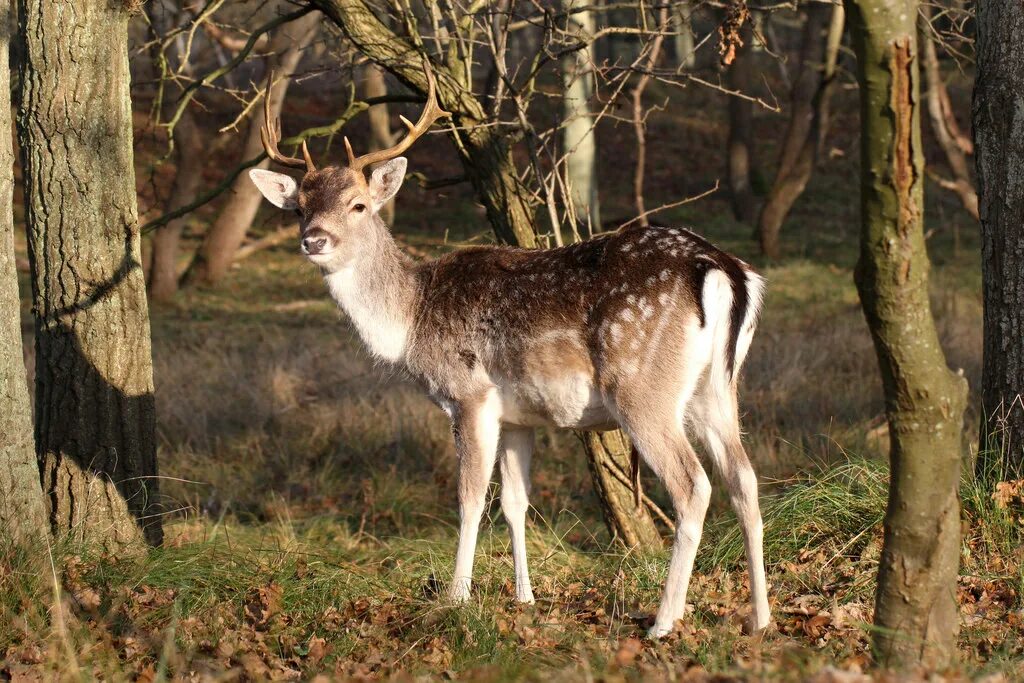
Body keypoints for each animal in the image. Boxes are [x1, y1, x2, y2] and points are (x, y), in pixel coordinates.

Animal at [249, 63, 770, 643]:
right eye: (299, 208)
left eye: (358, 205)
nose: (314, 240)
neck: (411, 322)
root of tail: (725, 270)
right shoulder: (519, 416)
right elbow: (516, 503)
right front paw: (524, 597)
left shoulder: (470, 394)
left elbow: (470, 497)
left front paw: (456, 598)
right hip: (716, 388)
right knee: (745, 480)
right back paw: (760, 617)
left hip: (642, 386)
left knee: (693, 485)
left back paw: (663, 621)